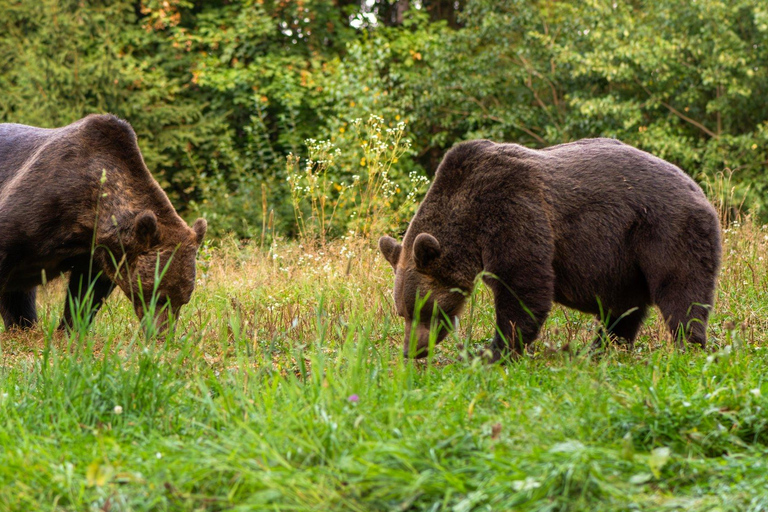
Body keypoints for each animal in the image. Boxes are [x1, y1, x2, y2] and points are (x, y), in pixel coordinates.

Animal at [0, 114, 207, 332]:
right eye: (156, 295)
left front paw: (70, 328)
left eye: (182, 301)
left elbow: (87, 292)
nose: (161, 333)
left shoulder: (96, 252)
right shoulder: (35, 207)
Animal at [379, 138, 722, 360]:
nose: (412, 351)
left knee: (681, 290)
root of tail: (697, 188)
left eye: (422, 310)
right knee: (623, 308)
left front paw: (494, 350)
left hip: (665, 229)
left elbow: (523, 286)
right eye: (401, 312)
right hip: (625, 258)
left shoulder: (511, 209)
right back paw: (599, 350)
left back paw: (687, 346)